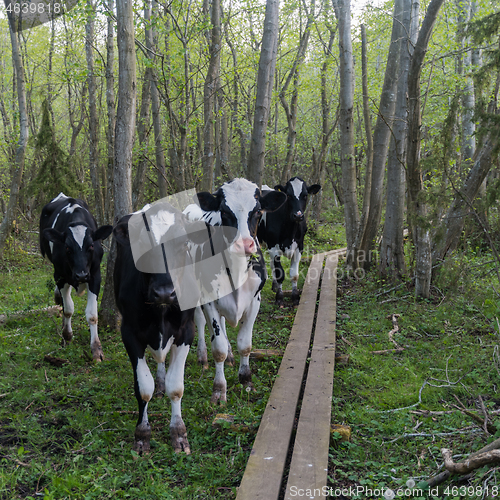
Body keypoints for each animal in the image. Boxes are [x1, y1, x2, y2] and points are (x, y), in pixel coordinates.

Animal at [39, 191, 113, 360]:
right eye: (67, 247)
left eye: (91, 245)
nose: (81, 275)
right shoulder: (60, 275)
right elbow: (68, 309)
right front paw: (66, 336)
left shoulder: (95, 275)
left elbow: (92, 315)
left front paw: (96, 349)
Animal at [184, 178, 286, 404]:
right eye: (224, 211)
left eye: (257, 211)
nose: (244, 244)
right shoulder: (209, 300)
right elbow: (218, 348)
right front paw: (219, 390)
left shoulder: (255, 300)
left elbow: (245, 344)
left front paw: (246, 380)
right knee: (201, 321)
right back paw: (202, 356)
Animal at [258, 178, 320, 306]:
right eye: (288, 195)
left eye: (305, 195)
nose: (298, 215)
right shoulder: (273, 248)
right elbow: (280, 274)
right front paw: (279, 298)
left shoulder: (299, 247)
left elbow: (294, 275)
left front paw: (295, 297)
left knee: (272, 265)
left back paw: (274, 286)